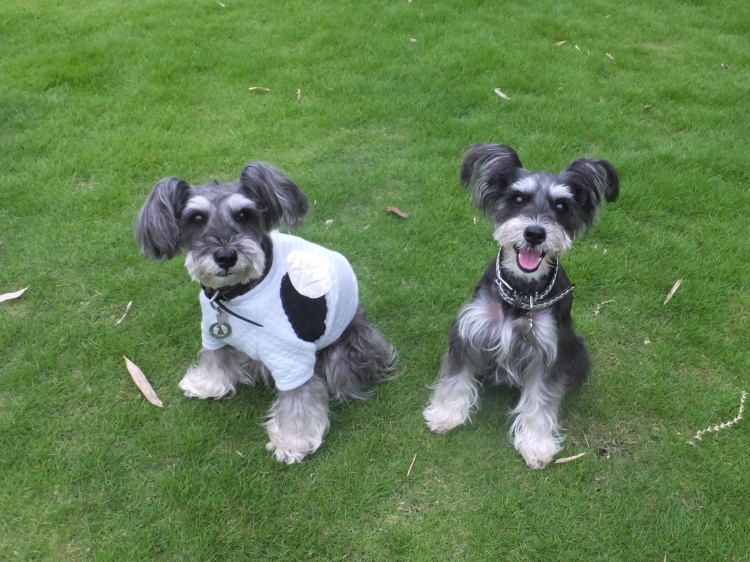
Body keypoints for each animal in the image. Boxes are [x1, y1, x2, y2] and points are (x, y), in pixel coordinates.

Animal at [136, 161, 396, 464]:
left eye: (244, 214)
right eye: (196, 218)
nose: (226, 256)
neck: (237, 293)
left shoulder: (291, 357)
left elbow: (299, 397)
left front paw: (294, 440)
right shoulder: (212, 332)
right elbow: (215, 357)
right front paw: (208, 384)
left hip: (344, 353)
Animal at [423, 144, 619, 469]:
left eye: (562, 206)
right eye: (517, 199)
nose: (535, 233)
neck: (521, 293)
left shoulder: (547, 351)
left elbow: (540, 399)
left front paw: (536, 444)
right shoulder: (469, 331)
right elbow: (455, 377)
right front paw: (446, 415)